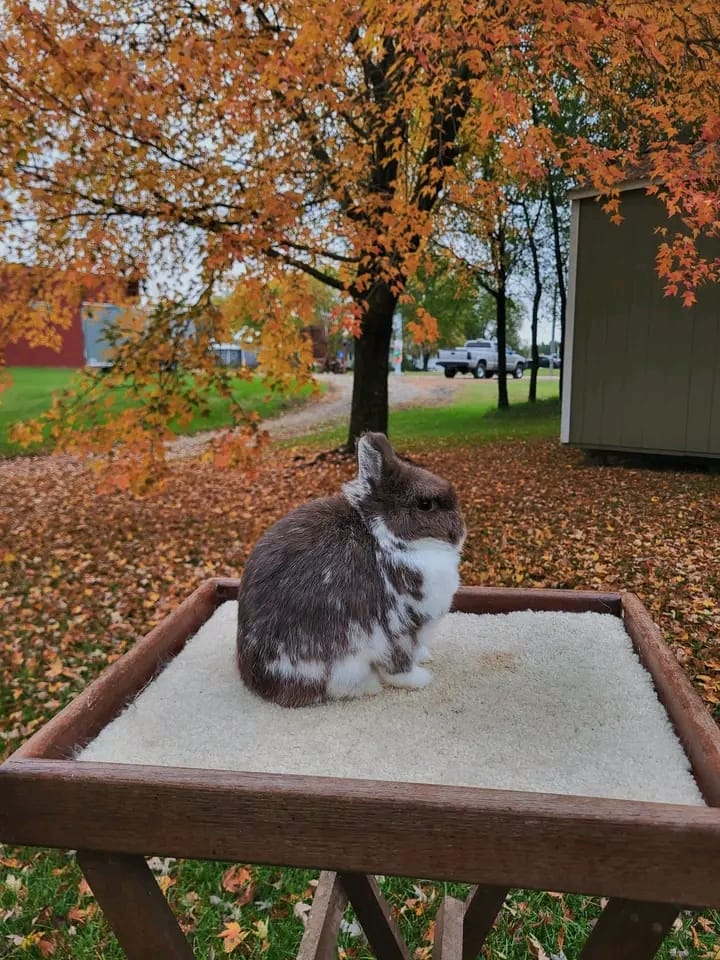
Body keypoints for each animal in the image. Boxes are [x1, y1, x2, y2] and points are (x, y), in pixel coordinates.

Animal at [236, 431, 466, 707]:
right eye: (425, 504)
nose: (460, 532)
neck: (386, 538)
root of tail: (259, 684)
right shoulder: (399, 629)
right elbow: (399, 666)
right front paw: (421, 680)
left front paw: (426, 657)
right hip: (339, 666)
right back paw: (372, 686)